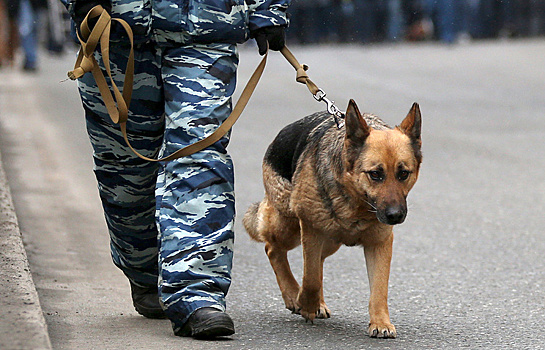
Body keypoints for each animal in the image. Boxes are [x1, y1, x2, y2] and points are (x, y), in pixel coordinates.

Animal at [244, 99, 422, 340]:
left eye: (403, 174)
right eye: (375, 174)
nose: (395, 216)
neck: (355, 204)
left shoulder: (379, 244)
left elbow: (379, 289)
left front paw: (380, 322)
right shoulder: (311, 229)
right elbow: (309, 278)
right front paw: (305, 302)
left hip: (330, 241)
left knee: (317, 261)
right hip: (290, 227)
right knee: (273, 249)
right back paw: (293, 294)